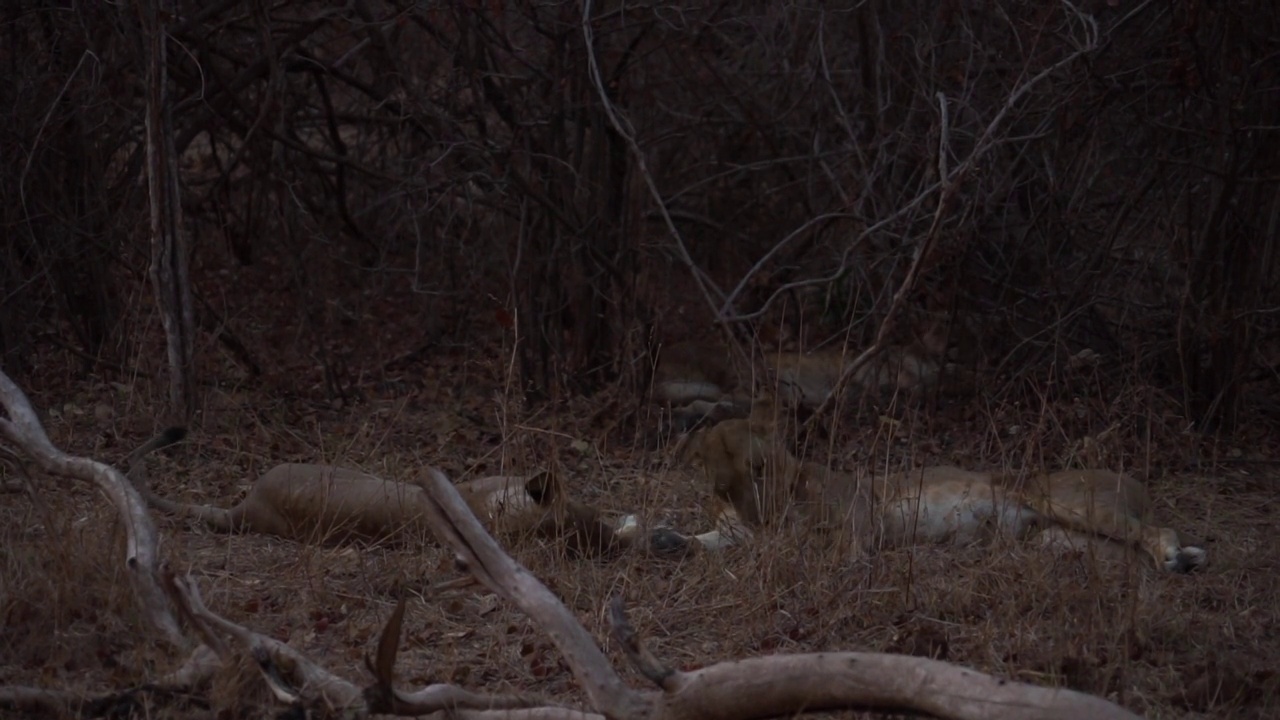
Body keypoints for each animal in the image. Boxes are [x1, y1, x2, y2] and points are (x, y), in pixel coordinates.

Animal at [655, 397, 1203, 571]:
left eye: (760, 469)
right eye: (721, 487)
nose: (760, 515)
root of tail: (1136, 482)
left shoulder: (860, 508)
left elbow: (841, 544)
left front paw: (842, 564)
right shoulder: (740, 529)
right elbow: (712, 539)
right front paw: (667, 538)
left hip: (1063, 502)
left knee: (1155, 532)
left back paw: (1176, 558)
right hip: (1056, 541)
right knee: (1128, 547)